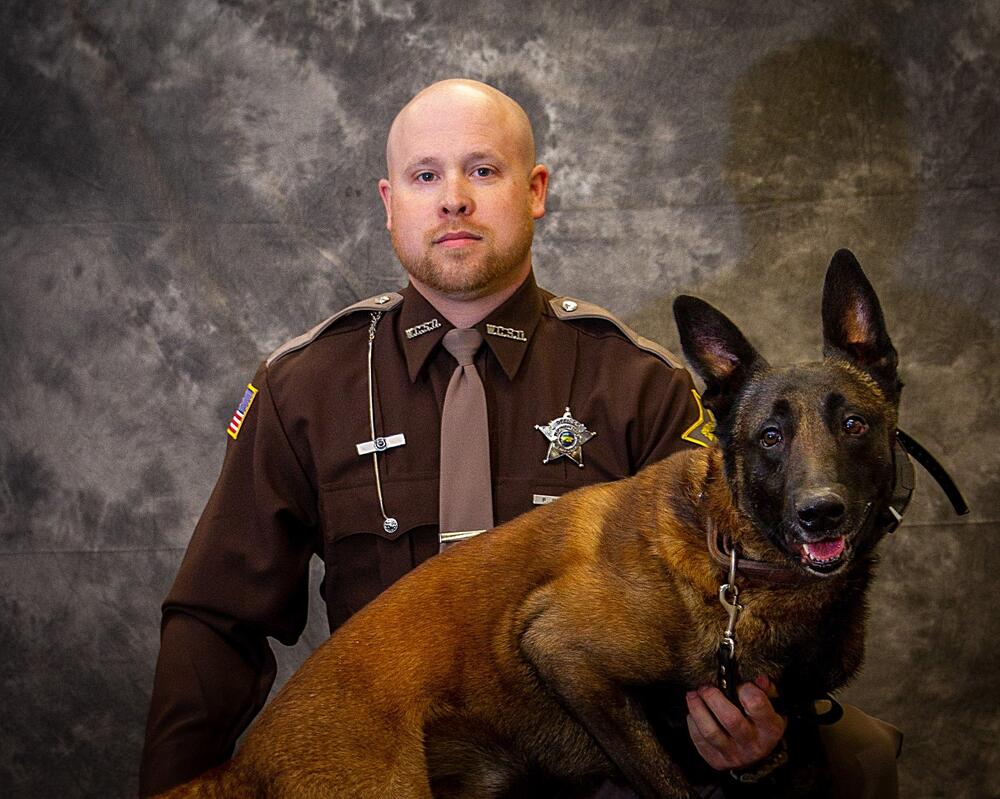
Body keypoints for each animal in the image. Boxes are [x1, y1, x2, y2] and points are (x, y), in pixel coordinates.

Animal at [158, 250, 908, 799]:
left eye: (854, 424)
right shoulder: (564, 654)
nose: (820, 511)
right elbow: (669, 783)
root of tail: (241, 765)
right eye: (771, 437)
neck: (733, 554)